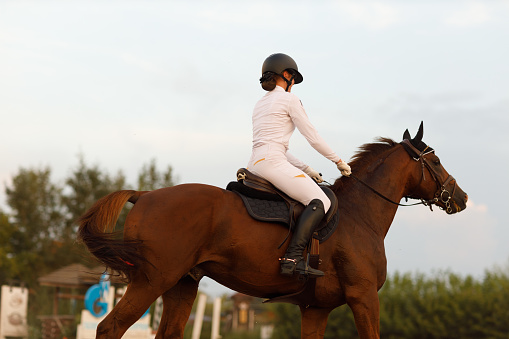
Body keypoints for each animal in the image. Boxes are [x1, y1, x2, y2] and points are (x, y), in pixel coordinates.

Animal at [77, 123, 466, 338]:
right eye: (435, 161)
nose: (461, 197)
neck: (360, 215)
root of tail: (144, 195)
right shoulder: (364, 296)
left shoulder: (315, 309)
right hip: (151, 280)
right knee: (109, 328)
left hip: (181, 285)